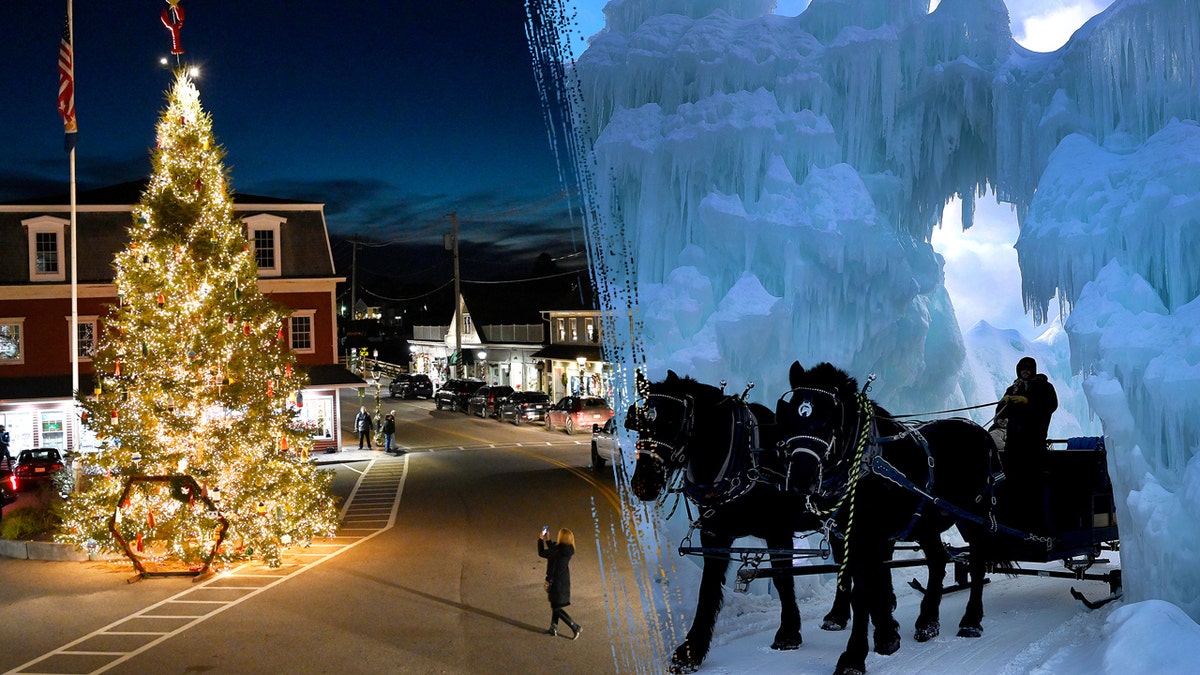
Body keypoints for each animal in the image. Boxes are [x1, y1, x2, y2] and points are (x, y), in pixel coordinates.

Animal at [628, 369, 854, 667]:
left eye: (671, 420)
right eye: (639, 423)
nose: (643, 483)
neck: (741, 459)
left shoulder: (778, 531)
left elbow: (783, 579)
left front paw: (788, 633)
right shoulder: (714, 535)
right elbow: (708, 589)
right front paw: (691, 649)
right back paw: (838, 615)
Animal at [777, 362, 1012, 672]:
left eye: (829, 418)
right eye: (790, 415)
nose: (801, 479)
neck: (866, 463)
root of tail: (981, 432)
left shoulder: (868, 537)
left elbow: (864, 592)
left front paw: (855, 655)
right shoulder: (853, 538)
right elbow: (869, 582)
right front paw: (887, 634)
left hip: (974, 516)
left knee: (977, 563)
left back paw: (971, 621)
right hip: (927, 523)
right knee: (938, 561)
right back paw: (927, 621)